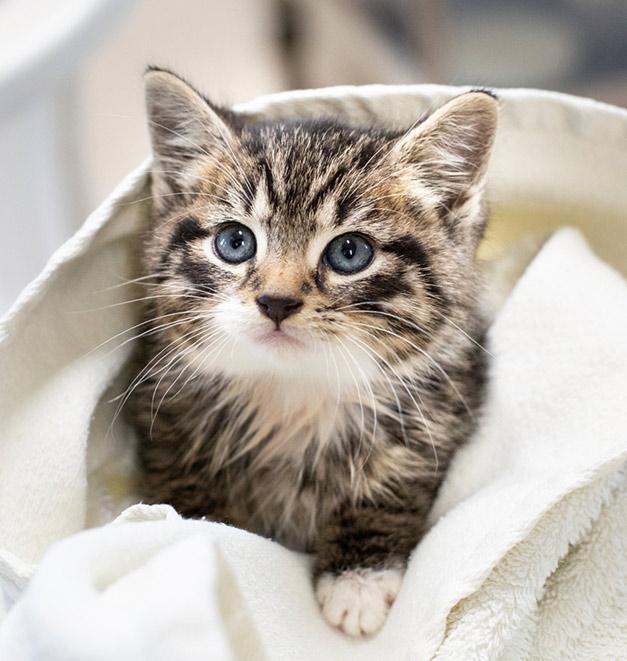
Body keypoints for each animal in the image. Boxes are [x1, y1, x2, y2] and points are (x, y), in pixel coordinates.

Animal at [127, 69, 498, 636]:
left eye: (350, 252)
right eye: (235, 242)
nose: (276, 301)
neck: (293, 390)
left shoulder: (441, 404)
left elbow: (395, 477)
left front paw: (358, 581)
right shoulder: (163, 411)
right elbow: (186, 494)